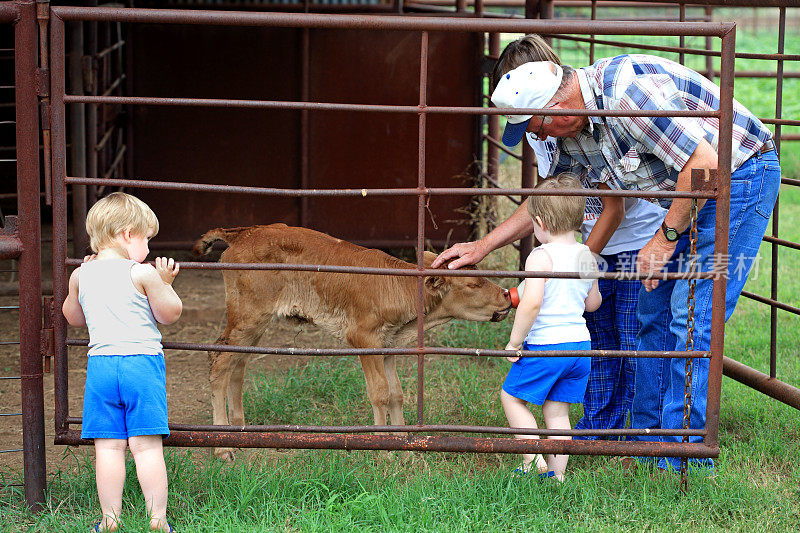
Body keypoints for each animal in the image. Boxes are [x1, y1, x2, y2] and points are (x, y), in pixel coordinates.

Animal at [191, 222, 510, 460]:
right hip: (248, 315)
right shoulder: (363, 338)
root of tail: (244, 232)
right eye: (473, 284)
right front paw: (383, 450)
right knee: (220, 360)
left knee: (238, 362)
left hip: (254, 323)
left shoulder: (389, 344)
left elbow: (396, 392)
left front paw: (403, 445)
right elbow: (380, 392)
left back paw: (239, 431)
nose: (507, 295)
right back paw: (222, 447)